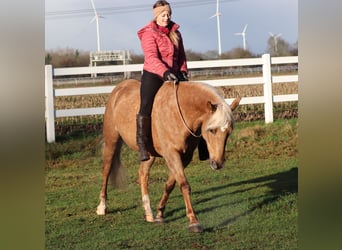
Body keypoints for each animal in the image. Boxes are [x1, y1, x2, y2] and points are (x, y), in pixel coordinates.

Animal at [97, 79, 240, 232]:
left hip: (149, 154)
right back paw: (102, 207)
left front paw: (160, 213)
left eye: (229, 132)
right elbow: (184, 185)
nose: (217, 163)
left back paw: (148, 212)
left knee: (143, 174)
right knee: (106, 170)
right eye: (212, 130)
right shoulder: (172, 154)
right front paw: (193, 221)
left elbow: (170, 184)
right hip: (111, 142)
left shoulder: (185, 157)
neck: (180, 112)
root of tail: (119, 88)